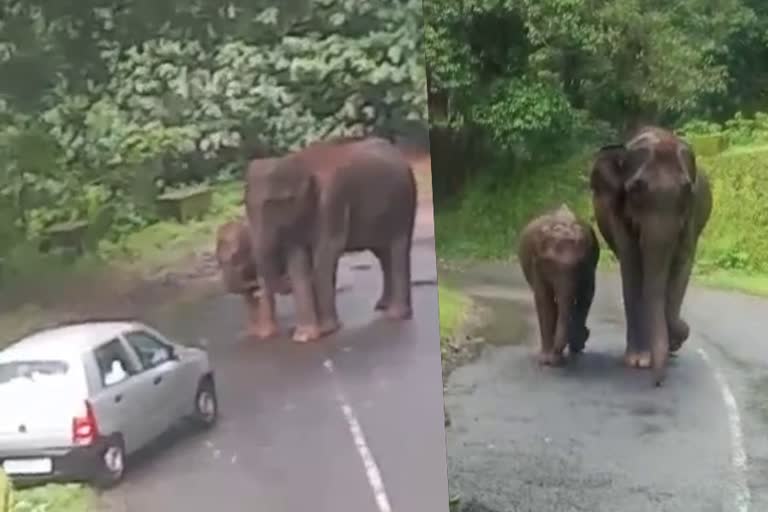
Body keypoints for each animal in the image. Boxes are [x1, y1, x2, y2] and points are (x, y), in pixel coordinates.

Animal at [244, 136, 414, 344]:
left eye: (277, 203)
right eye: (245, 204)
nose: (264, 334)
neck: (299, 160)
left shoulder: (332, 199)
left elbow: (326, 252)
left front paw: (324, 330)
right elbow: (297, 261)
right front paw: (304, 336)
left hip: (404, 202)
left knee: (398, 247)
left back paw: (396, 315)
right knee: (383, 254)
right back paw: (382, 305)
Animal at [516, 202, 600, 366]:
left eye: (579, 265)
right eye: (550, 265)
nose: (587, 333)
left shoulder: (589, 265)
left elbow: (586, 296)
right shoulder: (537, 265)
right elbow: (544, 299)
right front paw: (547, 360)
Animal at [588, 126, 712, 386]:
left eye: (686, 189)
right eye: (636, 188)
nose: (657, 382)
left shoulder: (691, 215)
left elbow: (681, 263)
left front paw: (672, 340)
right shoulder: (618, 212)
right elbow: (632, 265)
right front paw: (639, 360)